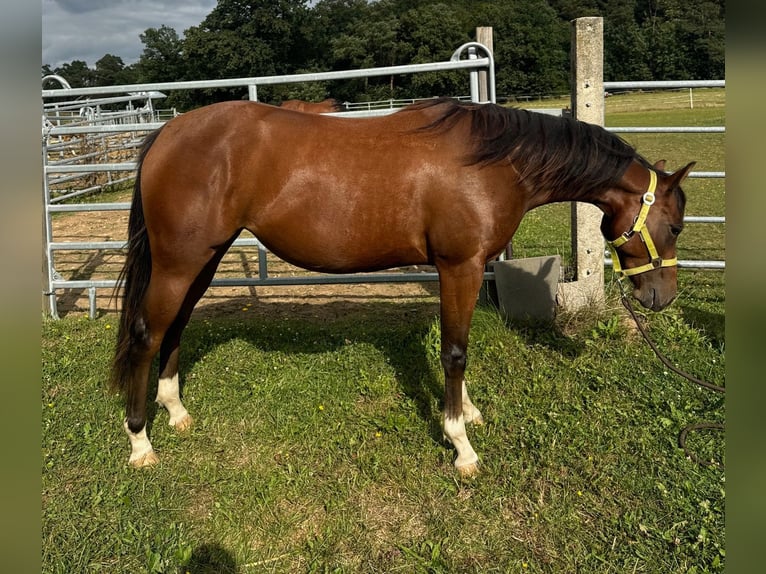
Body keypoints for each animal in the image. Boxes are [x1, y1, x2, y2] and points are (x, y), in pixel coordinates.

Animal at [109, 98, 696, 476]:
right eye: (674, 226)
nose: (661, 298)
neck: (495, 162)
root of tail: (167, 134)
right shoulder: (459, 266)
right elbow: (455, 350)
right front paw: (461, 445)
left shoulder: (462, 270)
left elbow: (458, 348)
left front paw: (468, 412)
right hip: (180, 262)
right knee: (145, 333)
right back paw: (139, 441)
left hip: (202, 260)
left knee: (175, 327)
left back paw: (176, 412)